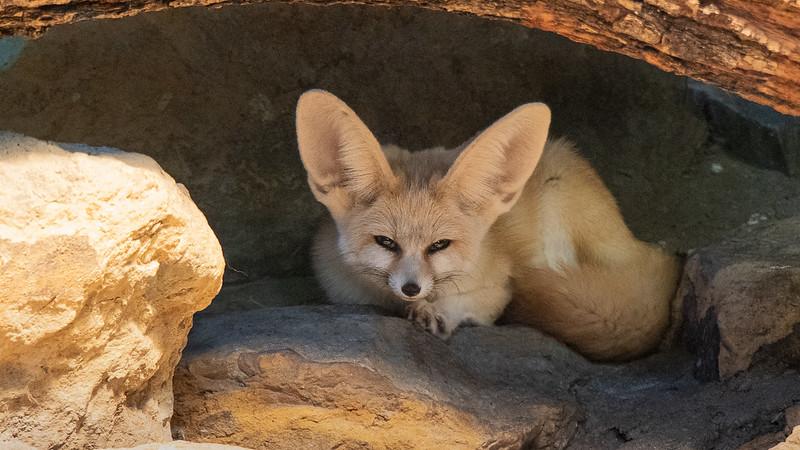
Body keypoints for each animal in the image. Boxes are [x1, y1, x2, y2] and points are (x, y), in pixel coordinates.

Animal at [296, 89, 680, 360]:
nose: (411, 288)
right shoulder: (342, 291)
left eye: (439, 245)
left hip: (555, 198)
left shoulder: (499, 288)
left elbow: (480, 302)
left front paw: (437, 312)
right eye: (386, 242)